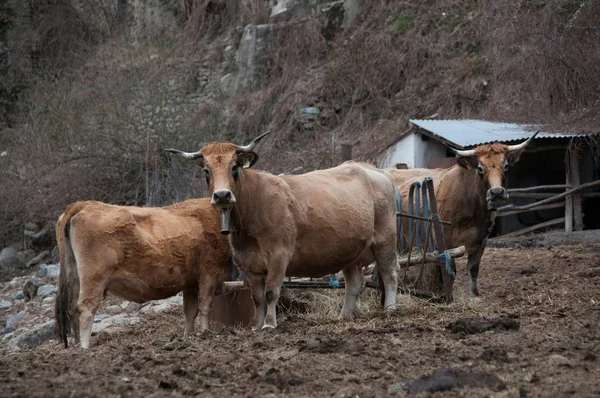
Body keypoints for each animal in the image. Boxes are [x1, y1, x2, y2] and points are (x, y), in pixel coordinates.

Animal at [54, 199, 232, 348]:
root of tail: (86, 204)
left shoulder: (191, 281)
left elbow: (190, 311)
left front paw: (187, 338)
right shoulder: (209, 272)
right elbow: (205, 306)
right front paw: (205, 334)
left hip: (74, 278)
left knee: (72, 310)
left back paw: (77, 346)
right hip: (94, 278)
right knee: (86, 308)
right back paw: (85, 348)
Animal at [164, 134, 398, 330]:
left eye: (234, 167)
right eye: (206, 171)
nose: (222, 195)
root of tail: (372, 170)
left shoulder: (279, 255)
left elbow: (270, 293)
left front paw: (269, 325)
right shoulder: (248, 263)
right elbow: (257, 298)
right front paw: (256, 326)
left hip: (385, 239)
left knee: (390, 273)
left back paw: (390, 309)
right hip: (350, 250)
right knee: (354, 283)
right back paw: (344, 316)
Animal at [386, 132, 536, 296]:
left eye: (506, 166)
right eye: (480, 168)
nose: (497, 192)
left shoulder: (481, 239)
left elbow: (473, 268)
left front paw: (474, 294)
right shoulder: (445, 239)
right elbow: (450, 270)